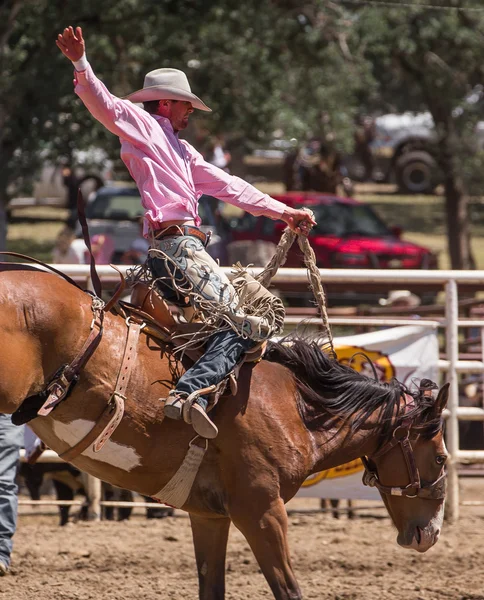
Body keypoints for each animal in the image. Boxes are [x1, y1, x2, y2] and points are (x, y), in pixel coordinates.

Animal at [0, 268, 450, 600]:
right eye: (441, 457)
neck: (297, 407)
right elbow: (288, 589)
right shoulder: (261, 509)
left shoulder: (209, 515)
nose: (429, 535)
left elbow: (211, 587)